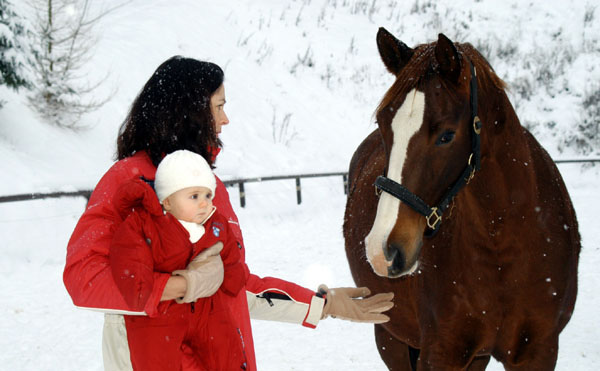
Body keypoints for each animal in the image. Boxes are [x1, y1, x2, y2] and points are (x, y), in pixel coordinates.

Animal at [342, 27, 580, 370]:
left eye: (446, 135)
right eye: (384, 125)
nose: (381, 250)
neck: (501, 245)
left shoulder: (539, 351)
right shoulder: (441, 354)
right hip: (391, 337)